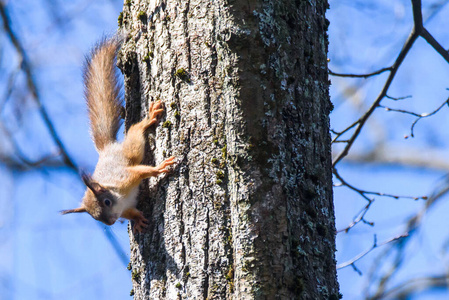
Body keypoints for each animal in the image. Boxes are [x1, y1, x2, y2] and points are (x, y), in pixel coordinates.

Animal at [61, 35, 175, 232]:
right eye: (95, 217)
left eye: (107, 202)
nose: (111, 221)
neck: (120, 199)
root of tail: (107, 148)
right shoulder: (125, 208)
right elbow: (131, 212)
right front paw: (138, 220)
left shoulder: (126, 178)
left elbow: (142, 171)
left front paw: (159, 168)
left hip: (131, 150)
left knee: (135, 131)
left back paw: (148, 119)